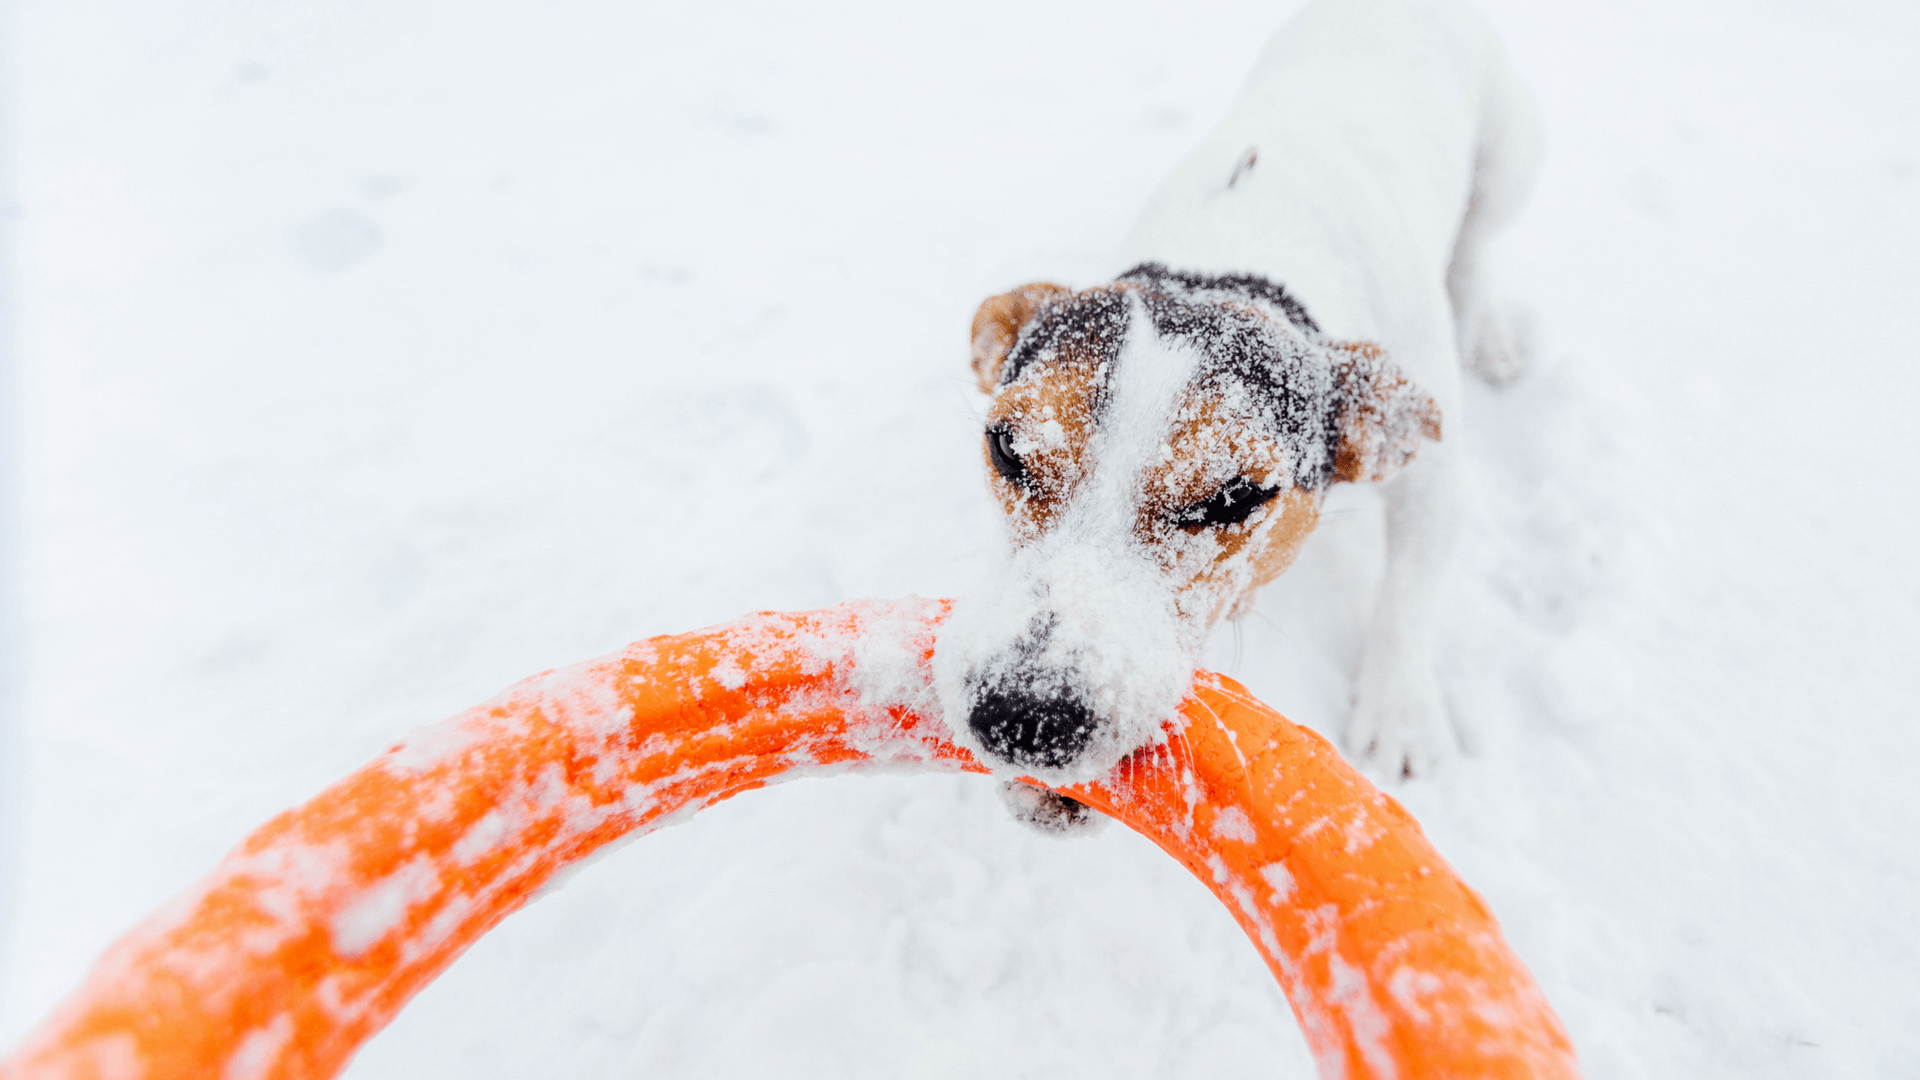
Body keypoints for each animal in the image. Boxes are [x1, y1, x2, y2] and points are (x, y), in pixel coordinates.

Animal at [921, 0, 1536, 791]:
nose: (1023, 716)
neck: (1238, 257)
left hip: (1513, 156)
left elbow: (1407, 593)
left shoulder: (1432, 476)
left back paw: (1489, 327)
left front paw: (1399, 713)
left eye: (1235, 497)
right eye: (1006, 449)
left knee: (1478, 242)